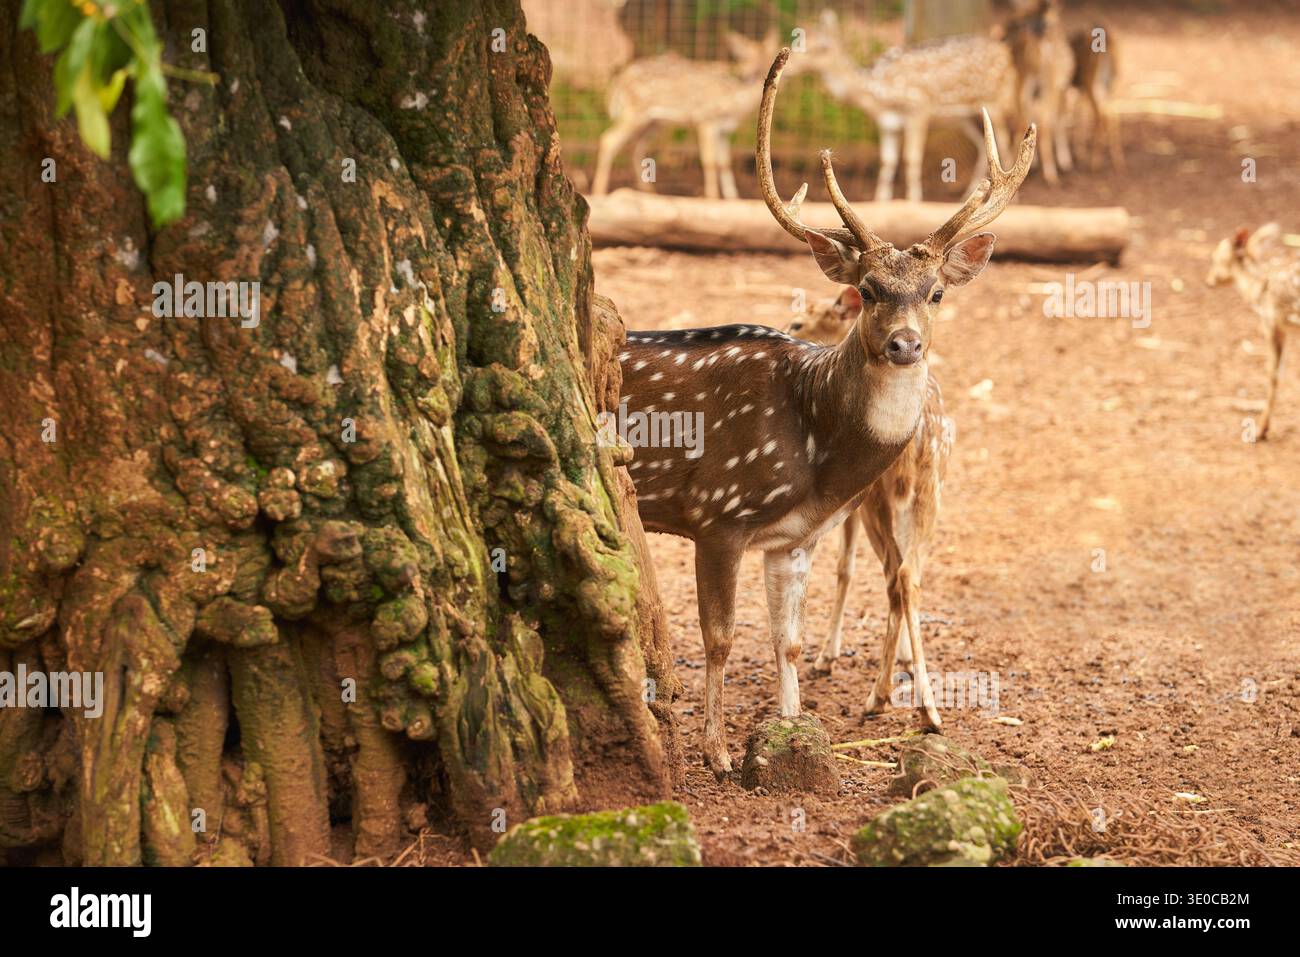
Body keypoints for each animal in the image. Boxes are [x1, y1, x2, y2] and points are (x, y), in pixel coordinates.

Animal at [591, 30, 808, 200]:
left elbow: (724, 163)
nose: (751, 73)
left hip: (654, 122)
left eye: (766, 57)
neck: (734, 102)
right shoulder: (706, 121)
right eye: (747, 57)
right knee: (608, 139)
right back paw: (599, 191)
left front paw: (732, 198)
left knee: (635, 147)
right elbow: (709, 161)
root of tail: (618, 81)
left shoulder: (724, 130)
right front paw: (712, 197)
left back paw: (648, 191)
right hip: (636, 113)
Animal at [784, 291, 953, 717]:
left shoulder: (850, 497)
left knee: (894, 573)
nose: (784, 330)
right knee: (910, 573)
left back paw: (879, 695)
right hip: (931, 488)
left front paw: (827, 655)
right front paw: (908, 657)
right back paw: (926, 707)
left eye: (798, 323)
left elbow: (844, 567)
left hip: (877, 494)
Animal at [808, 10, 1019, 203]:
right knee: (983, 144)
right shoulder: (887, 124)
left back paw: (1012, 199)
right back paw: (967, 194)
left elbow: (912, 157)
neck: (876, 92)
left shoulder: (918, 109)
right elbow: (887, 160)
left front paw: (914, 200)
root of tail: (1007, 53)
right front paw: (881, 200)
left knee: (1004, 142)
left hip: (995, 101)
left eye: (822, 47)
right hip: (965, 118)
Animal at [1206, 224, 1300, 440]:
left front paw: (1260, 431)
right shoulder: (1285, 328)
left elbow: (1273, 375)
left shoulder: (1271, 323)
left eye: (1215, 257)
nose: (1208, 281)